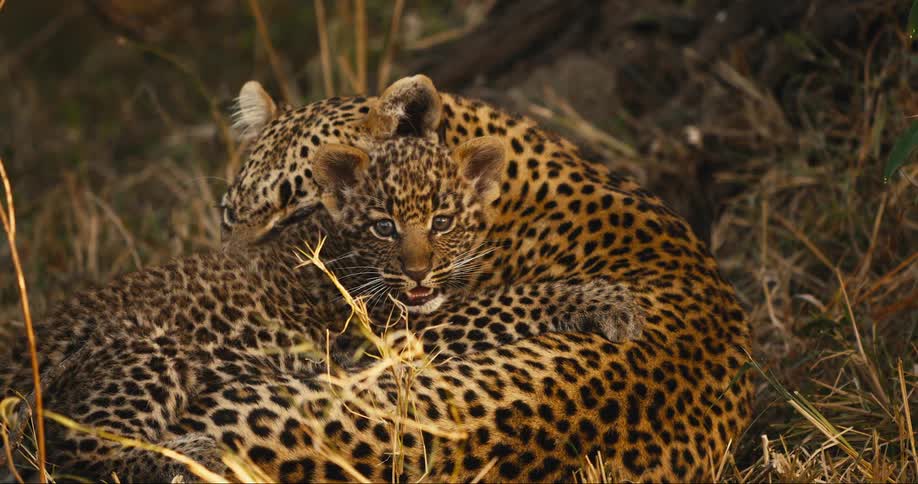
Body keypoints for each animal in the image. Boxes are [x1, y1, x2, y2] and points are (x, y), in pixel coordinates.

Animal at [0, 135, 641, 481]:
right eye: (384, 226)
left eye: (442, 222)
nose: (417, 272)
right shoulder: (378, 344)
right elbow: (509, 298)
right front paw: (607, 297)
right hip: (149, 354)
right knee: (79, 447)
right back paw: (196, 455)